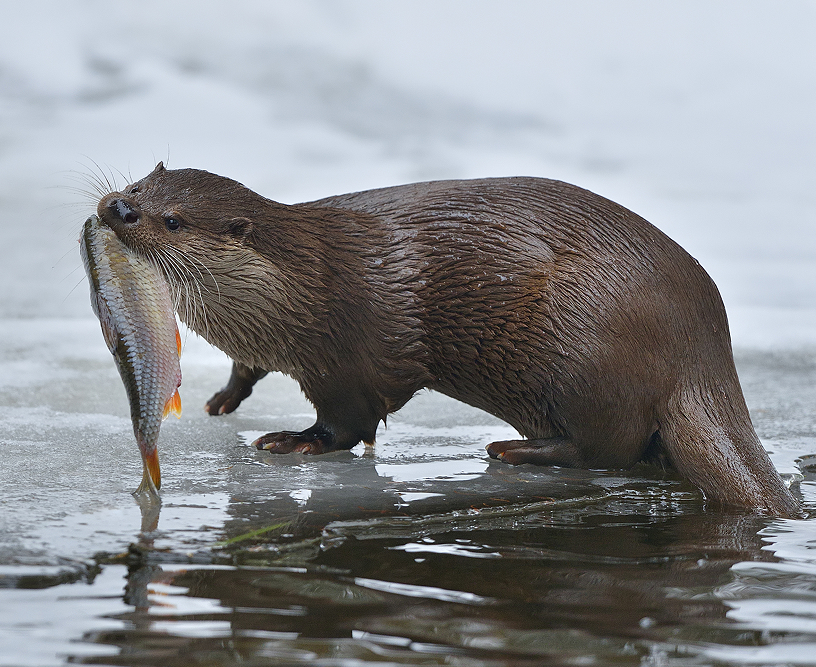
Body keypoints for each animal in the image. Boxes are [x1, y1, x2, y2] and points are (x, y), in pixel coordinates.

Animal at [97, 164, 804, 520]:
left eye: (172, 220)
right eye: (135, 188)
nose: (116, 209)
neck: (299, 287)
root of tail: (702, 350)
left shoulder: (353, 349)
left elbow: (350, 420)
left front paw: (295, 441)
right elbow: (248, 369)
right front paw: (224, 399)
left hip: (586, 353)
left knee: (606, 447)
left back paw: (515, 450)